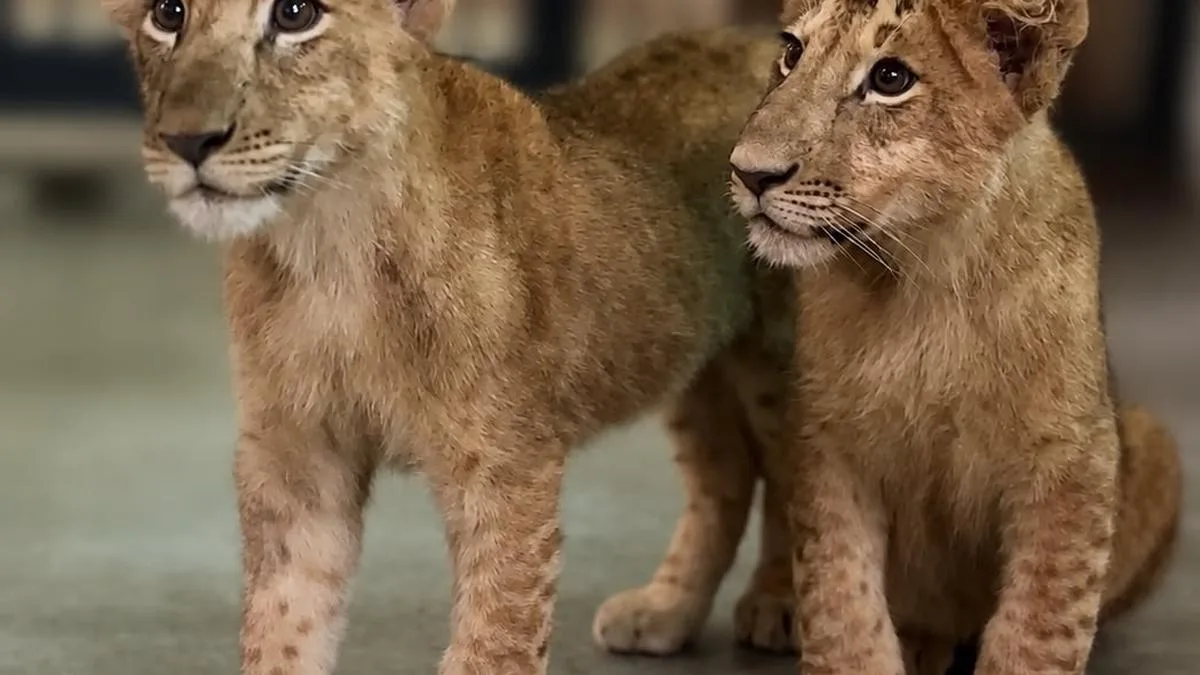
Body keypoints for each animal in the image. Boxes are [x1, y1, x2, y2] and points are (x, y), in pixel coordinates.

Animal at [101, 0, 804, 673]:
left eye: (295, 15)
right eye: (168, 14)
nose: (188, 140)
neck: (328, 237)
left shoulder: (506, 466)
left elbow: (497, 636)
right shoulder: (296, 454)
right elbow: (285, 621)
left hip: (781, 360)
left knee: (792, 477)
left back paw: (777, 606)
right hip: (694, 361)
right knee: (727, 479)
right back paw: (667, 610)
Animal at [727, 0, 1183, 673]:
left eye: (890, 79)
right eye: (790, 53)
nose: (748, 172)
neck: (924, 273)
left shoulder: (1072, 460)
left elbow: (1039, 625)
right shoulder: (828, 442)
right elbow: (840, 604)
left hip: (1152, 441)